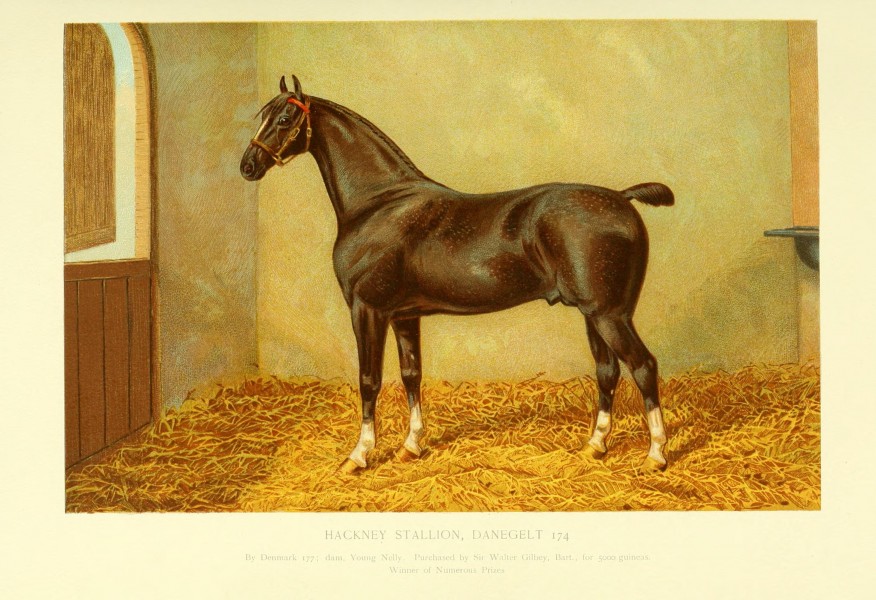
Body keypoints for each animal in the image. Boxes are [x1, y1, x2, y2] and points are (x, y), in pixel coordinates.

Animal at [240, 75, 674, 474]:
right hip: (593, 315)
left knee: (643, 366)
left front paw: (359, 455)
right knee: (608, 371)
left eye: (284, 118)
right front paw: (411, 446)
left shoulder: (367, 309)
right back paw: (595, 446)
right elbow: (411, 375)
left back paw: (656, 454)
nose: (248, 165)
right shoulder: (403, 315)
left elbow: (369, 380)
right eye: (263, 116)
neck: (379, 202)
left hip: (609, 315)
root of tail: (622, 198)